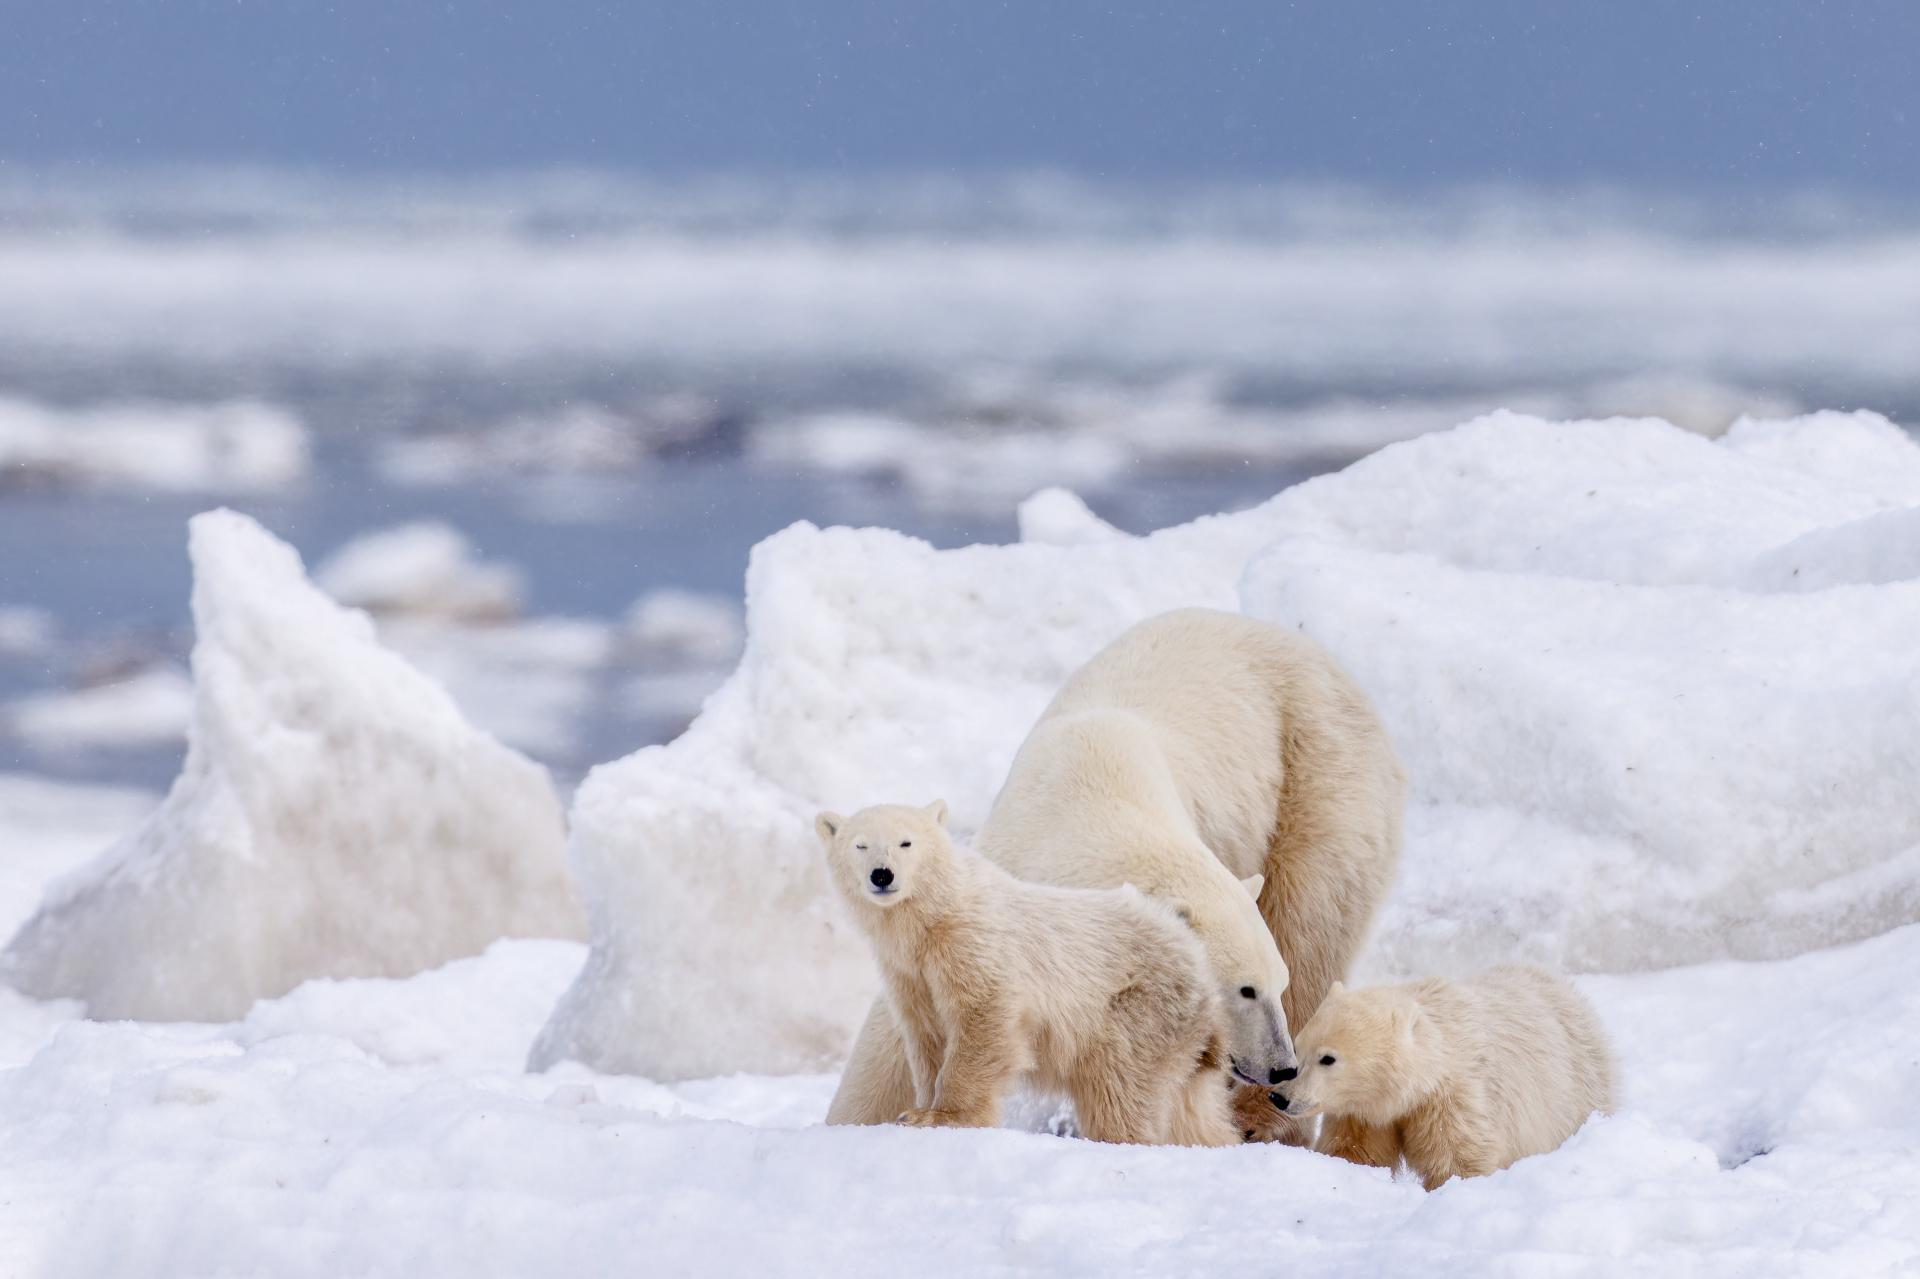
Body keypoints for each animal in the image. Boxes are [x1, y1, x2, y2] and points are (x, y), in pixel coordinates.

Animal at [810, 802, 1228, 1136]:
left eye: (906, 843)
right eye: (860, 845)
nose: (882, 874)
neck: (933, 919)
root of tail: (1195, 956)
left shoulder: (973, 944)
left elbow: (982, 1017)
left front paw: (943, 1116)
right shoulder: (908, 973)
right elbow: (927, 1032)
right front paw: (919, 1107)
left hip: (1138, 1004)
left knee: (1120, 1087)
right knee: (1190, 1108)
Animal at [1282, 967, 1612, 1182]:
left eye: (1328, 1058)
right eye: (1297, 1048)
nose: (1281, 1097)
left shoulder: (1453, 1097)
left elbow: (1457, 1158)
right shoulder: (1362, 1111)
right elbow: (1356, 1149)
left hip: (1580, 1089)